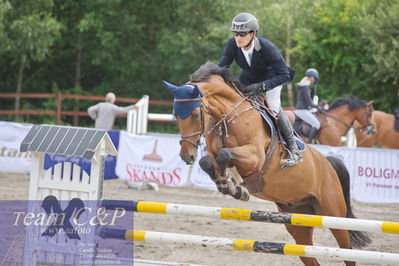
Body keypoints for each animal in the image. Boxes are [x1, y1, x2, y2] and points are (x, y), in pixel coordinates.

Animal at [163, 62, 372, 266]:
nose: (186, 155)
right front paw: (230, 187)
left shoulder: (255, 158)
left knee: (347, 251)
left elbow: (224, 155)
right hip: (298, 221)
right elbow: (208, 161)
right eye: (175, 114)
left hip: (333, 215)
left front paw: (234, 188)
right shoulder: (215, 155)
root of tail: (328, 164)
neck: (229, 116)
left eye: (195, 115)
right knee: (310, 256)